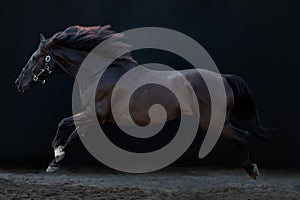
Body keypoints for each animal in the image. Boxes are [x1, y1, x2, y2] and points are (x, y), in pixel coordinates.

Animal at [14, 24, 272, 179]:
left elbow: (63, 124)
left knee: (244, 136)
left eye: (36, 57)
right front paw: (56, 159)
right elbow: (74, 134)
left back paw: (251, 169)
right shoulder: (95, 118)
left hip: (213, 123)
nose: (19, 83)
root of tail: (223, 78)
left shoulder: (94, 113)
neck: (100, 74)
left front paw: (55, 157)